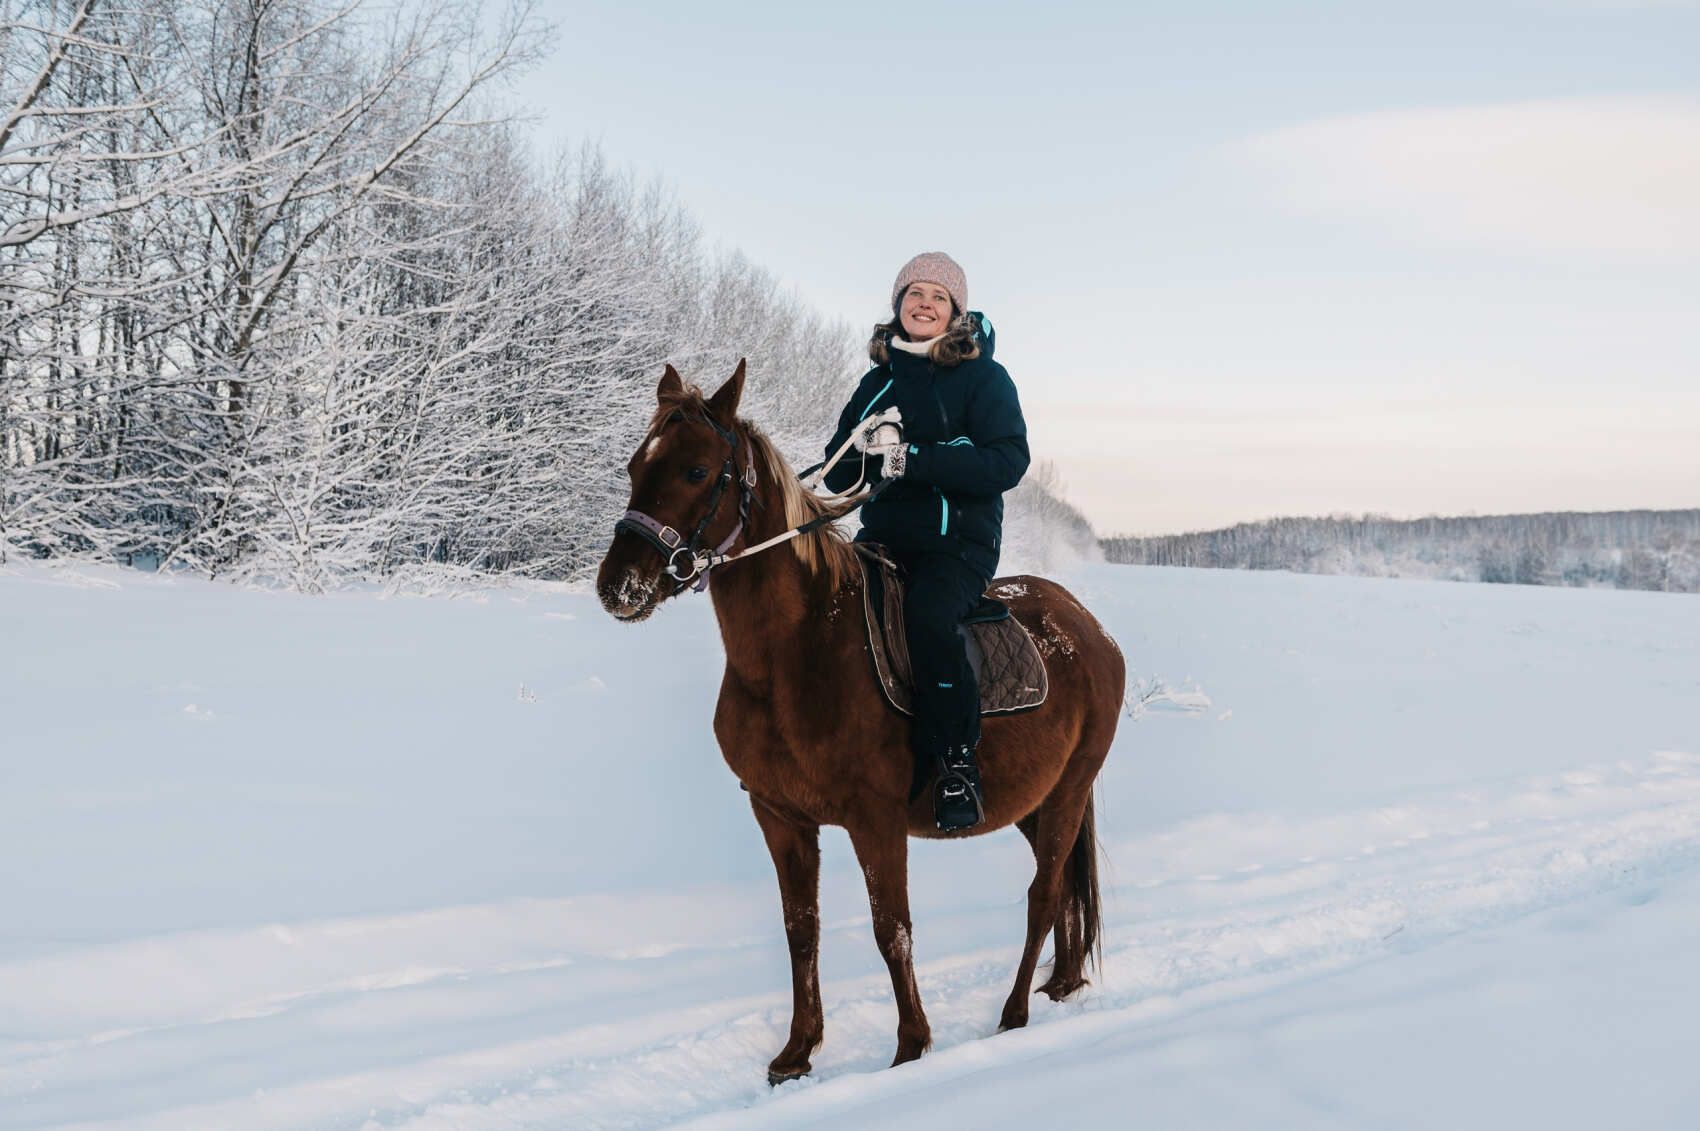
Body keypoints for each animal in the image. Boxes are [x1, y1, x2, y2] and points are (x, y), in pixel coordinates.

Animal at [598, 358, 1128, 1074]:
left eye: (697, 471)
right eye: (636, 465)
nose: (618, 585)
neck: (796, 655)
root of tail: (1088, 628)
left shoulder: (874, 819)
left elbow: (891, 929)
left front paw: (910, 1046)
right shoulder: (779, 814)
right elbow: (801, 930)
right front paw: (797, 1051)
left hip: (1070, 788)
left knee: (1044, 894)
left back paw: (1015, 1013)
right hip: (1035, 801)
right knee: (1065, 888)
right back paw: (1061, 984)